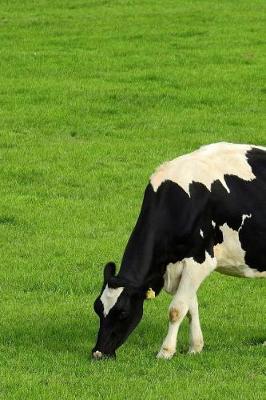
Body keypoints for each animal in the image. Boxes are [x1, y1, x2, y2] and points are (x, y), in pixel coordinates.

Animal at [92, 143, 266, 360]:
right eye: (97, 308)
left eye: (122, 312)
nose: (98, 352)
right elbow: (191, 307)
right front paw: (195, 347)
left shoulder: (200, 261)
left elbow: (176, 309)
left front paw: (165, 352)